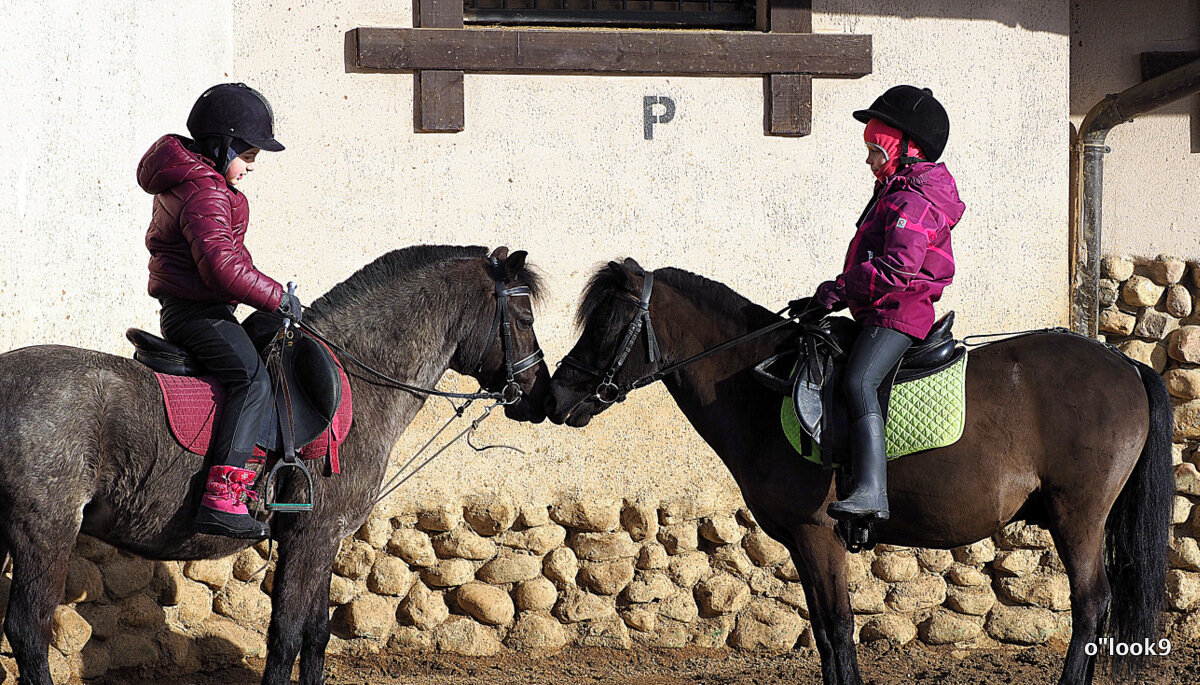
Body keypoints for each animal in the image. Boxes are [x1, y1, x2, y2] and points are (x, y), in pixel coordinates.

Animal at [0, 243, 549, 681]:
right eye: (524, 319)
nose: (540, 395)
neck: (357, 382)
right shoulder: (311, 537)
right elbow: (285, 636)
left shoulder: (325, 539)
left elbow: (317, 634)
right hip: (44, 530)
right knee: (28, 632)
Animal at [549, 259, 1171, 685]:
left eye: (607, 325)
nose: (557, 396)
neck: (759, 385)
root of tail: (1124, 363)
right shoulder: (801, 541)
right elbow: (825, 633)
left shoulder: (818, 533)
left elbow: (839, 626)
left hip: (1078, 517)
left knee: (1090, 604)